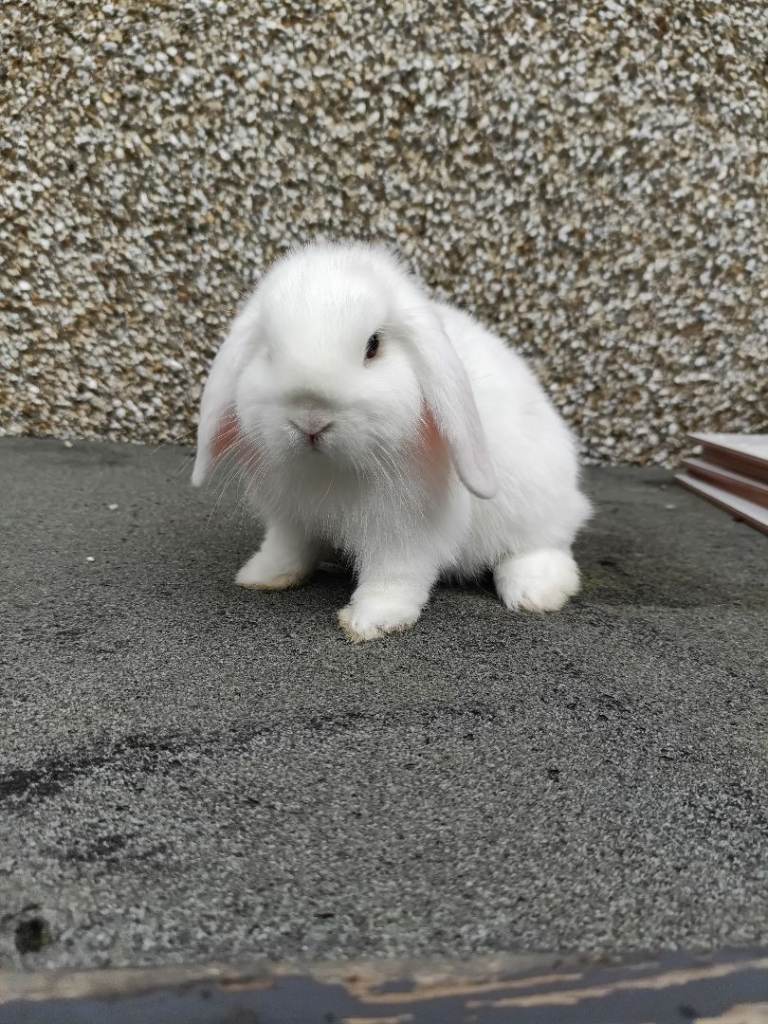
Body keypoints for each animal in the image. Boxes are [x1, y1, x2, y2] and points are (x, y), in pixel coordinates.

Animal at [192, 239, 591, 641]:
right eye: (269, 350)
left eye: (373, 345)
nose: (311, 419)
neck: (329, 470)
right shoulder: (291, 520)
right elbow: (288, 549)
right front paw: (263, 576)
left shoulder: (404, 531)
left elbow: (394, 576)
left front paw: (370, 622)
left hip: (534, 506)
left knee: (544, 546)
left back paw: (534, 593)